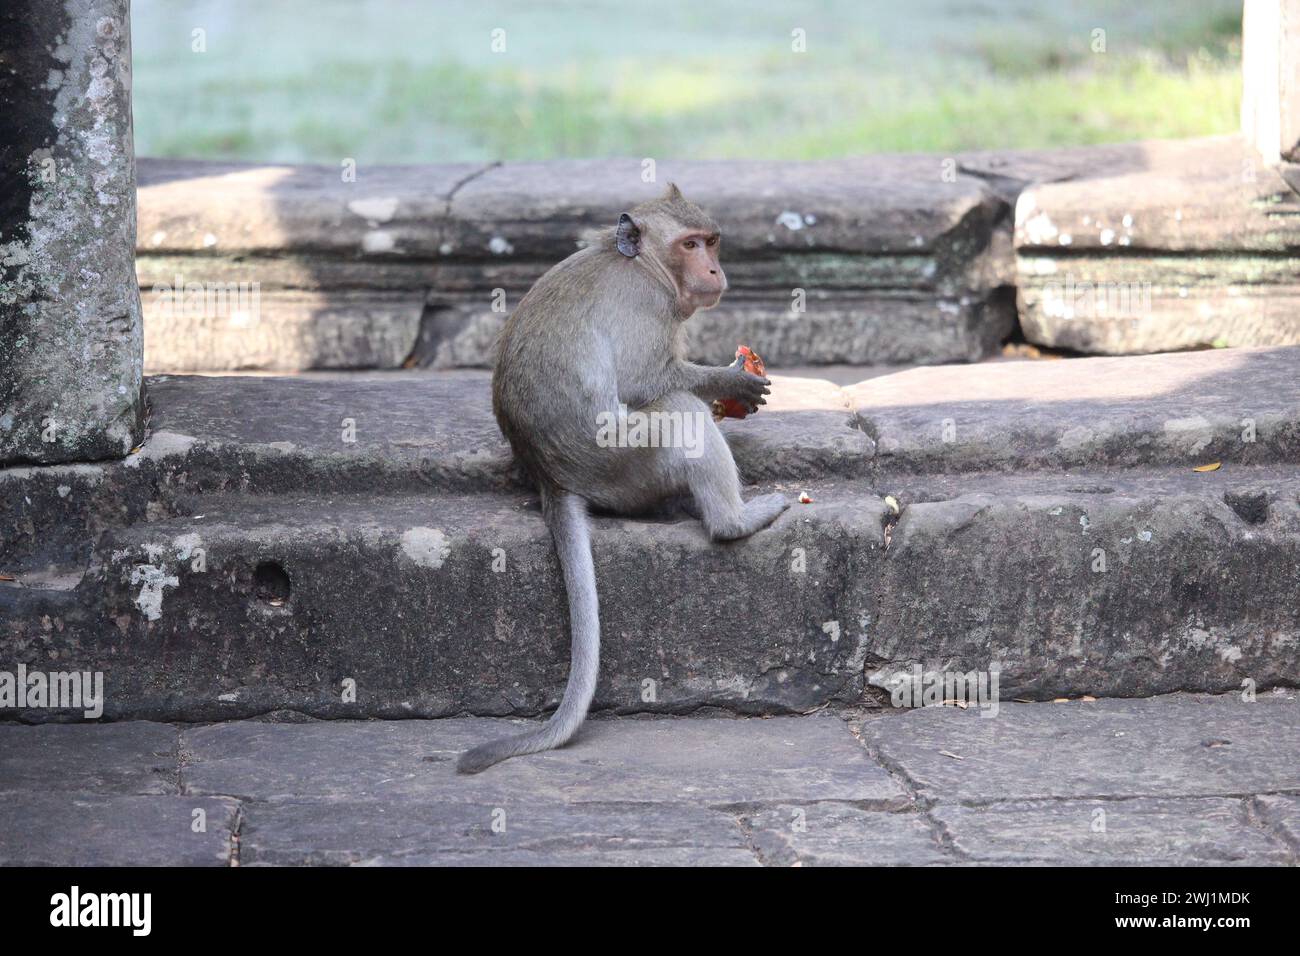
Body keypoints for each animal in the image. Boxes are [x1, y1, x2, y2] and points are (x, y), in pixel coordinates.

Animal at [456, 184, 789, 774]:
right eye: (689, 245)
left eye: (711, 241)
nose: (714, 270)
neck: (644, 264)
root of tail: (550, 476)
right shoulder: (645, 305)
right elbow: (644, 380)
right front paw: (730, 382)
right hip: (624, 462)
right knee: (678, 410)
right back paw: (734, 519)